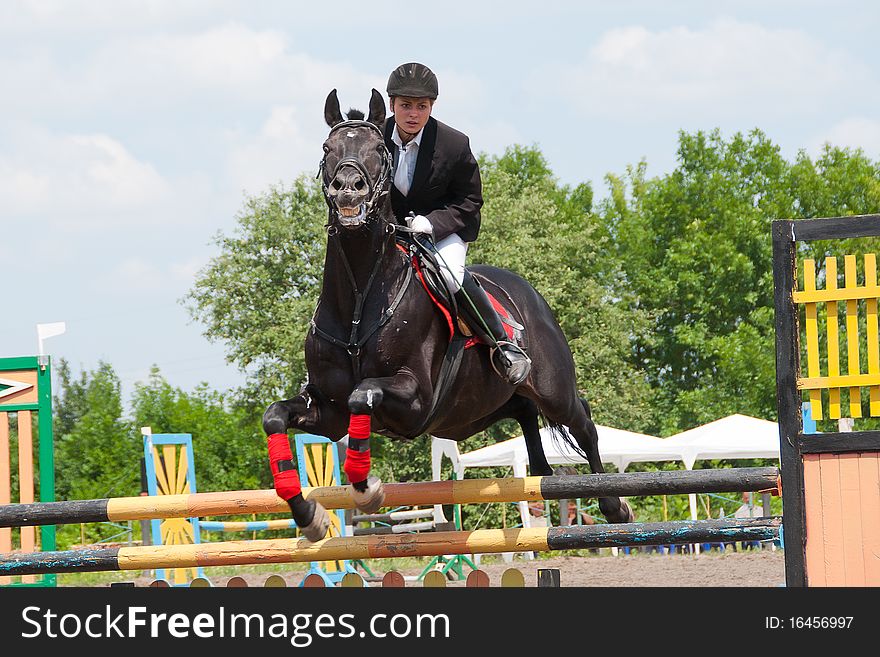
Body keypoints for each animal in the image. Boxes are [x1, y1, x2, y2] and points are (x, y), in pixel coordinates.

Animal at [262, 87, 632, 540]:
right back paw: (542, 479)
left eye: (379, 150)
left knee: (583, 421)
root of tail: (529, 294)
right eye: (327, 149)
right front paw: (308, 514)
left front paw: (367, 489)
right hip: (475, 411)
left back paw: (614, 506)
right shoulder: (329, 411)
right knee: (525, 413)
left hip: (552, 388)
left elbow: (362, 393)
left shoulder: (415, 397)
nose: (349, 192)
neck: (359, 297)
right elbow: (275, 417)